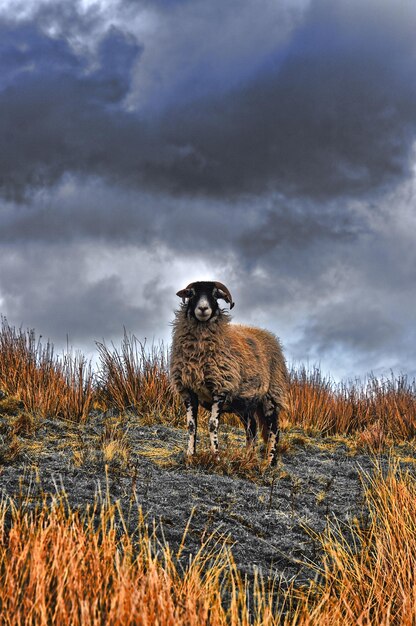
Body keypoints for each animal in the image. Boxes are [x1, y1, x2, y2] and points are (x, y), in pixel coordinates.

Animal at [170, 280, 290, 464]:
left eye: (214, 294)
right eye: (191, 294)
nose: (203, 308)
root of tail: (271, 336)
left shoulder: (220, 389)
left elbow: (212, 425)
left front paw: (216, 458)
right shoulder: (188, 391)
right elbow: (191, 426)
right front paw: (190, 455)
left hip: (271, 396)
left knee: (274, 430)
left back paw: (268, 462)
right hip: (243, 403)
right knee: (252, 428)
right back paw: (248, 458)